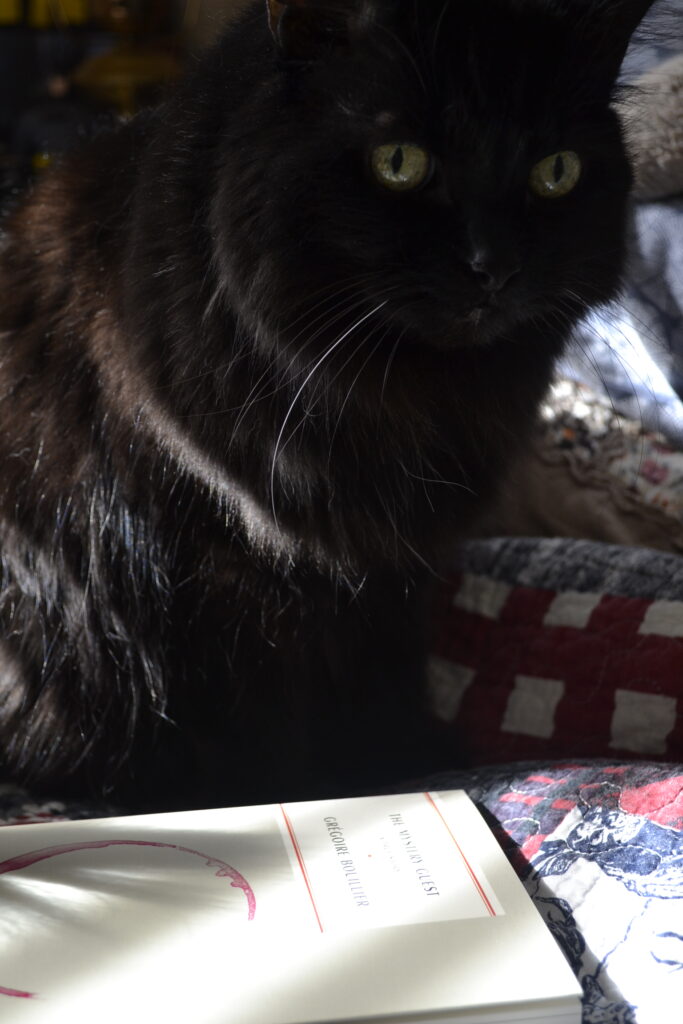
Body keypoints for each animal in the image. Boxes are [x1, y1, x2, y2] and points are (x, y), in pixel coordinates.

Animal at [0, 0, 655, 811]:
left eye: (554, 172)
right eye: (400, 161)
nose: (492, 267)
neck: (397, 406)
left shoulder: (393, 569)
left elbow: (383, 673)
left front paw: (402, 757)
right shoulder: (222, 568)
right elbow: (257, 715)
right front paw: (291, 793)